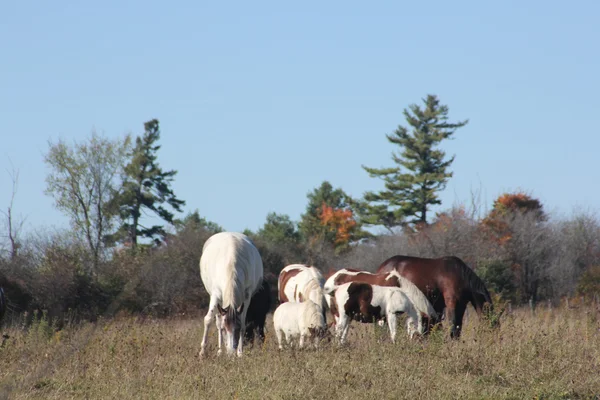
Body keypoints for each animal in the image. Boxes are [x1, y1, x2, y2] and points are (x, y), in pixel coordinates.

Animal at [199, 230, 262, 358]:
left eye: (236, 329)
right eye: (224, 329)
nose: (231, 353)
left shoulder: (247, 296)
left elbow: (243, 323)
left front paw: (240, 353)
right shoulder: (215, 294)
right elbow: (208, 320)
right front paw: (202, 353)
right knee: (217, 321)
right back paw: (219, 351)